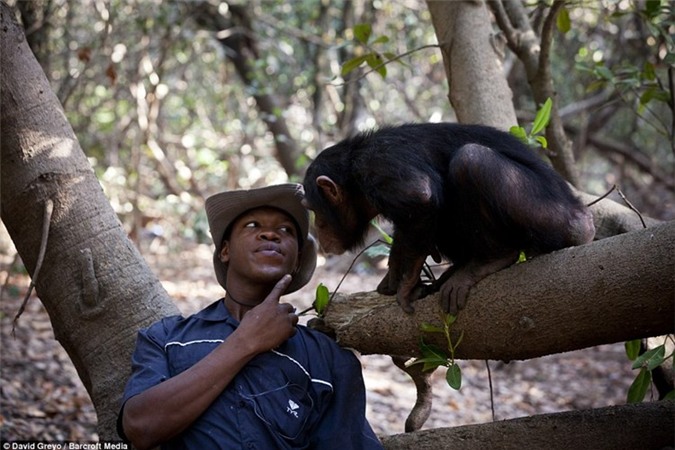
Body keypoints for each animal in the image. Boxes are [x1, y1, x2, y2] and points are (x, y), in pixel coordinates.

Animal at [304, 121, 596, 314]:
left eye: (315, 211)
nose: (317, 230)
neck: (354, 175)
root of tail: (585, 220)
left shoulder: (379, 164)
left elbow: (420, 195)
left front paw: (406, 285)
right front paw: (394, 272)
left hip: (554, 218)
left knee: (472, 160)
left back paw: (491, 260)